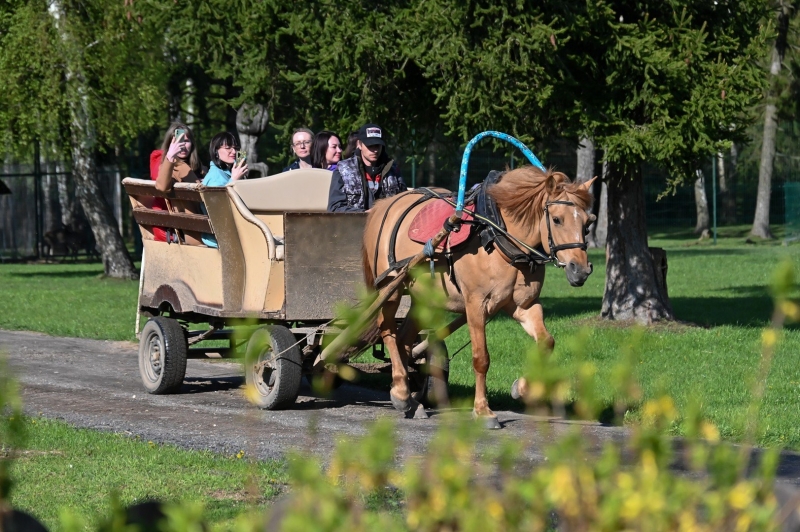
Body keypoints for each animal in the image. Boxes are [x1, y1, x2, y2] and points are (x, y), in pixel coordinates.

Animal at [360, 166, 592, 428]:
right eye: (557, 219)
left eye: (587, 224)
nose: (580, 270)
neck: (498, 239)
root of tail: (385, 203)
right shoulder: (475, 305)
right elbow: (481, 358)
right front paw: (483, 410)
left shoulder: (525, 305)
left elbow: (546, 343)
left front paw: (523, 388)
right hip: (391, 287)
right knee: (387, 329)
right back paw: (400, 392)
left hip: (423, 297)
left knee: (404, 339)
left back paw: (411, 399)